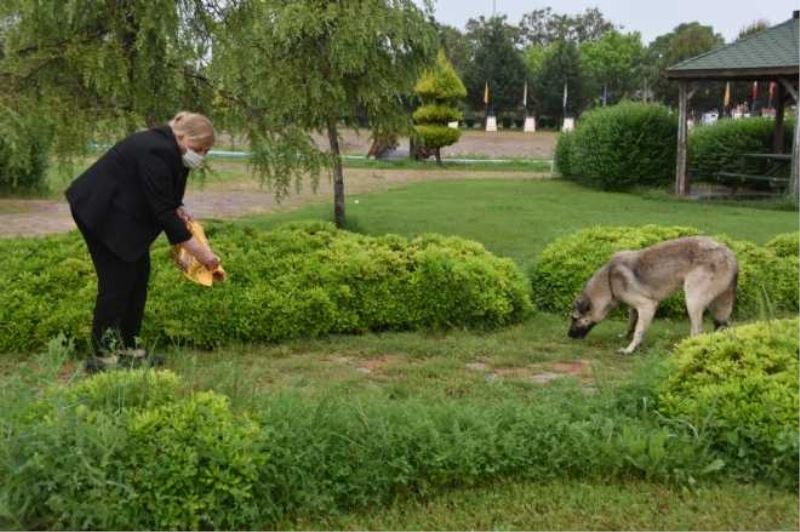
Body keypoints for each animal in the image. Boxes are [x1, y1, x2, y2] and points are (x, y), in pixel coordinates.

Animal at [568, 237, 736, 354]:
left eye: (575, 319)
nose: (568, 335)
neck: (609, 281)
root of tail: (731, 256)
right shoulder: (634, 309)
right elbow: (632, 325)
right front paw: (627, 337)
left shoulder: (647, 306)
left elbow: (638, 331)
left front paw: (630, 349)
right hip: (716, 305)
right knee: (723, 325)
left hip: (692, 301)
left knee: (697, 330)